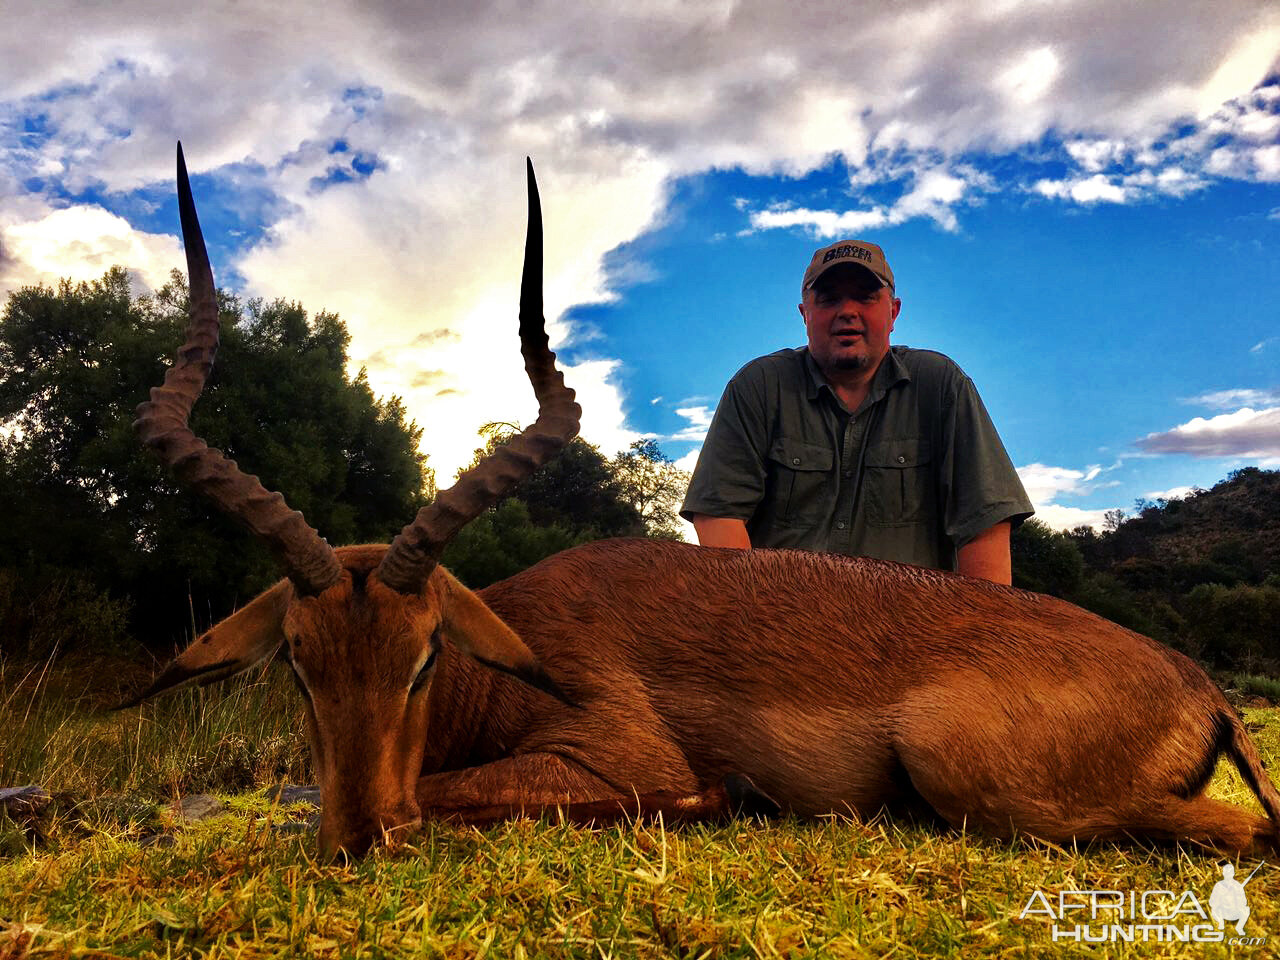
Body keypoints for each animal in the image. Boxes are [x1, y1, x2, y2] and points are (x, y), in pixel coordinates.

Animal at [127, 146, 1280, 860]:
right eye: (298, 663)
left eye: (422, 657)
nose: (358, 843)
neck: (507, 660)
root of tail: (1198, 684)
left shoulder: (606, 755)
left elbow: (460, 799)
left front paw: (719, 800)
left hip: (974, 779)